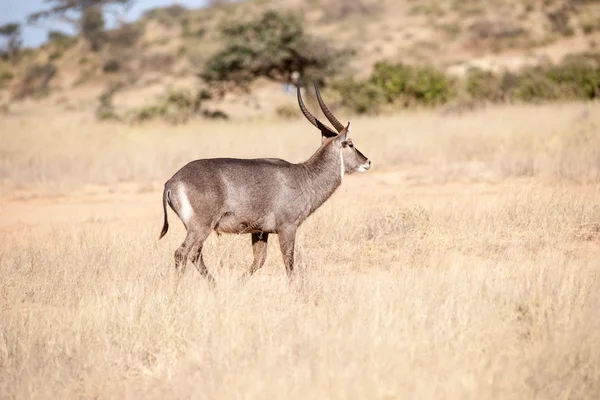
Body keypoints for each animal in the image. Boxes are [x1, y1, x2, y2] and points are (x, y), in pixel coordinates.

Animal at [161, 83, 370, 286]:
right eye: (350, 144)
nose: (367, 161)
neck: (305, 175)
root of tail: (171, 182)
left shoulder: (261, 231)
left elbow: (258, 261)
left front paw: (238, 286)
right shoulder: (287, 227)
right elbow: (289, 263)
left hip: (198, 229)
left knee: (195, 255)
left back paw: (216, 287)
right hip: (201, 227)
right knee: (182, 253)